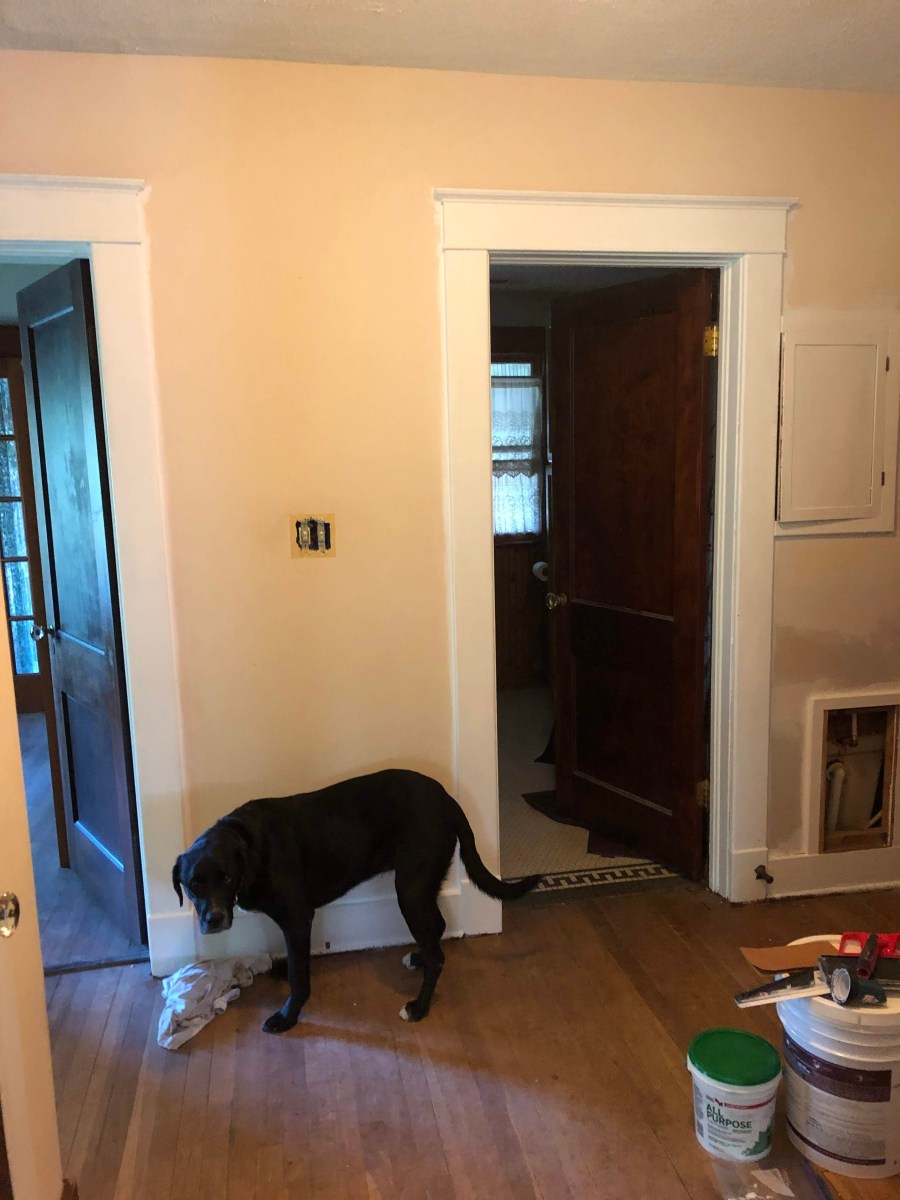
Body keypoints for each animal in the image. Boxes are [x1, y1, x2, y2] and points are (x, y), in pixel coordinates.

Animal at [172, 769, 541, 1033]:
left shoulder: (297, 916)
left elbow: (299, 976)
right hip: (422, 885)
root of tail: (448, 800)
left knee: (438, 954)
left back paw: (418, 1007)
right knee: (436, 928)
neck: (248, 842)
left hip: (410, 887)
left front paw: (287, 1016)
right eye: (192, 885)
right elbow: (294, 962)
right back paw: (419, 958)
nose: (213, 919)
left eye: (226, 878)